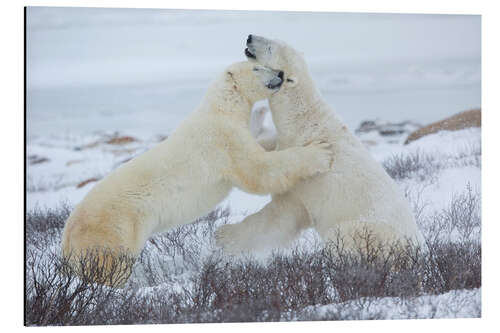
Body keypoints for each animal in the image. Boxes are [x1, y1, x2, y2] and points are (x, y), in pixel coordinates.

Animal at [63, 61, 336, 284]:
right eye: (257, 67)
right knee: (109, 266)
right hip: (113, 231)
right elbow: (258, 170)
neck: (221, 108)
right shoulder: (223, 139)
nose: (280, 73)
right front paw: (321, 152)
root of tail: (66, 240)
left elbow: (260, 148)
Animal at [216, 36, 426, 253]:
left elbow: (279, 216)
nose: (250, 37)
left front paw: (224, 236)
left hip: (365, 231)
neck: (303, 122)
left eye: (270, 48)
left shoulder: (304, 183)